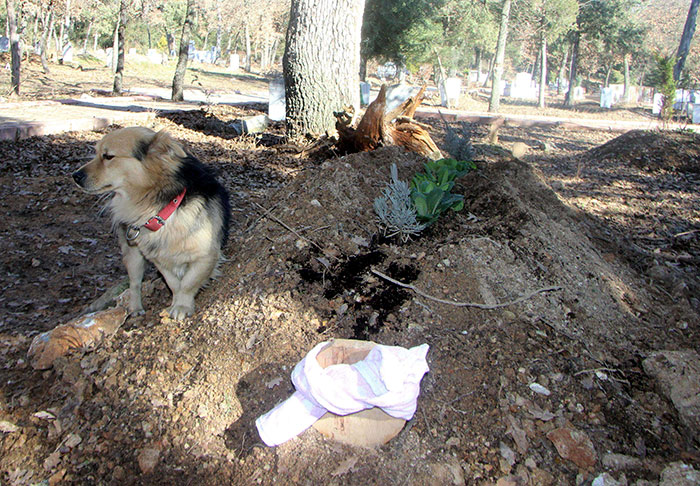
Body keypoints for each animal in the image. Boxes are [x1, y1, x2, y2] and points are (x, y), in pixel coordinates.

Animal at [73, 127, 230, 320]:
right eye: (96, 154)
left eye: (108, 156)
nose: (75, 176)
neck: (162, 208)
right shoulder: (158, 258)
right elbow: (173, 283)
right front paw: (177, 302)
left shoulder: (206, 255)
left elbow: (188, 282)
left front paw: (182, 305)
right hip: (133, 254)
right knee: (134, 283)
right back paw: (135, 307)